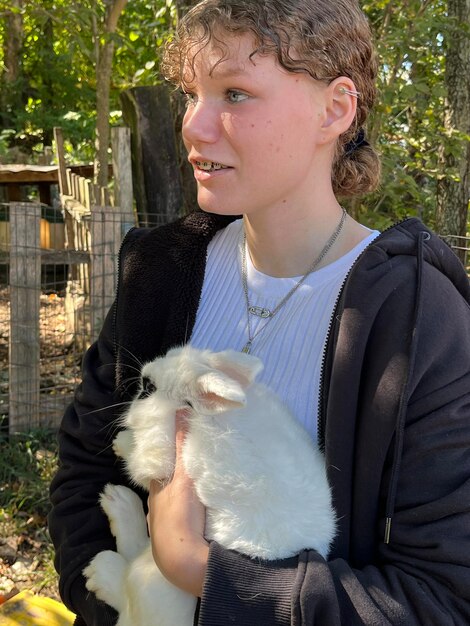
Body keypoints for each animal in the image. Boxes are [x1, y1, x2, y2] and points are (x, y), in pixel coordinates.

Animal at [83, 346, 334, 624]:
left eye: (149, 388)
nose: (144, 372)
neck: (196, 412)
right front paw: (122, 440)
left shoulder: (158, 456)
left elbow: (138, 460)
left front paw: (122, 442)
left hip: (156, 579)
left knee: (128, 595)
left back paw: (102, 566)